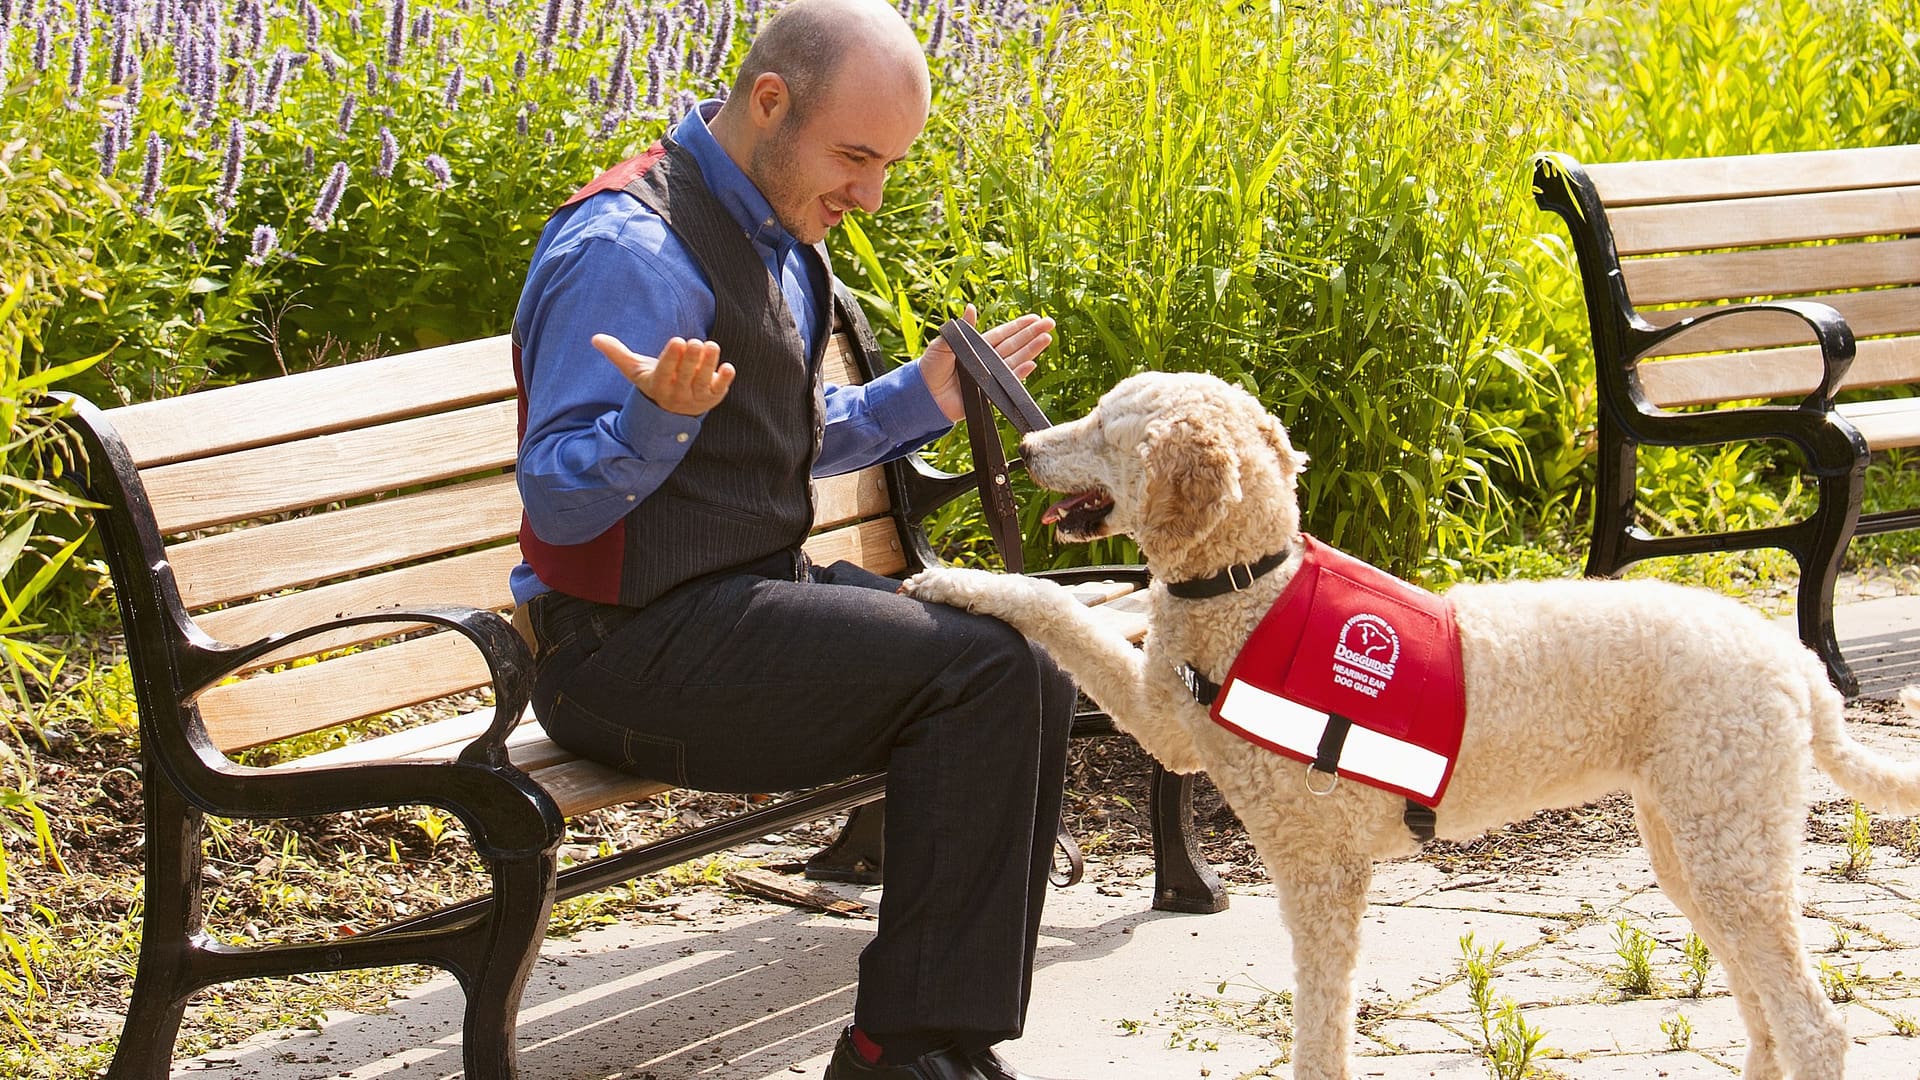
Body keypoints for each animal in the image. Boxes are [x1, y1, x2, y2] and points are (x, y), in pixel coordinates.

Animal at [906, 368, 1920, 1076]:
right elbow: (1086, 608)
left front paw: (957, 581)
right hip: (1698, 846)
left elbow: (1059, 611)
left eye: (1108, 427)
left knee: (1815, 1029)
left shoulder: (1312, 865)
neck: (1251, 588)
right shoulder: (1173, 727)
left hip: (1726, 845)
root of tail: (1798, 666)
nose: (1022, 455)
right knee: (1766, 1015)